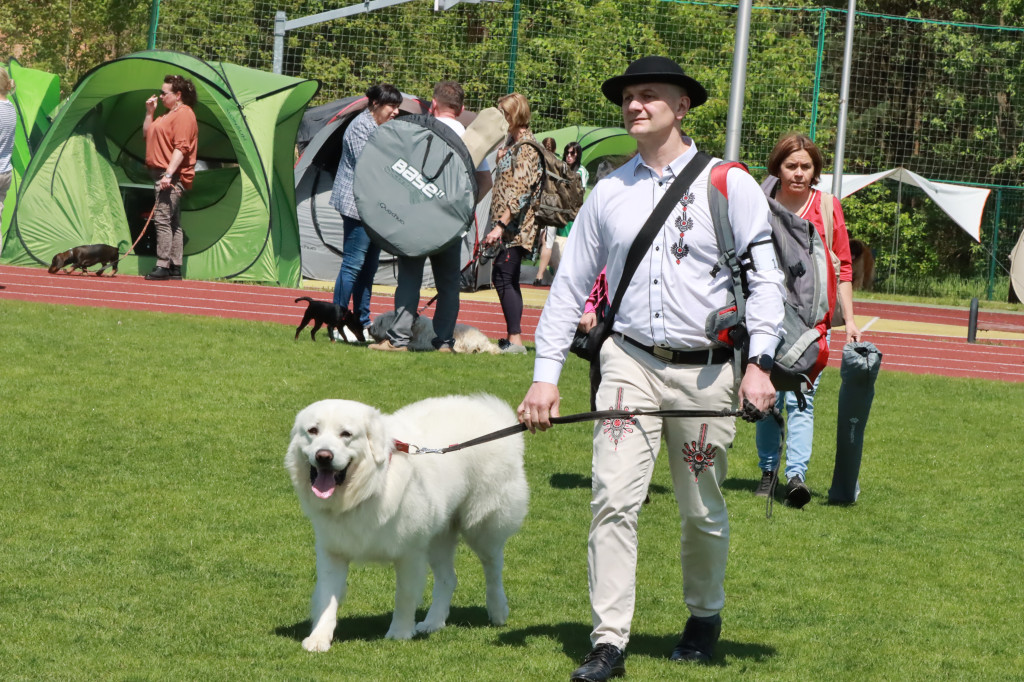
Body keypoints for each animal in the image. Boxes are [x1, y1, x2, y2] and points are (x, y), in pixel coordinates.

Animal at [286, 393, 528, 647]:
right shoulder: (332, 552)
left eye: (346, 434)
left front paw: (399, 633)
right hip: (437, 538)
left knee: (493, 568)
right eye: (313, 431)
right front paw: (319, 638)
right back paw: (433, 623)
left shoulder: (409, 553)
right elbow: (327, 598)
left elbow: (404, 595)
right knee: (449, 579)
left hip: (482, 527)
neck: (369, 488)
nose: (323, 456)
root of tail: (495, 413)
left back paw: (498, 611)